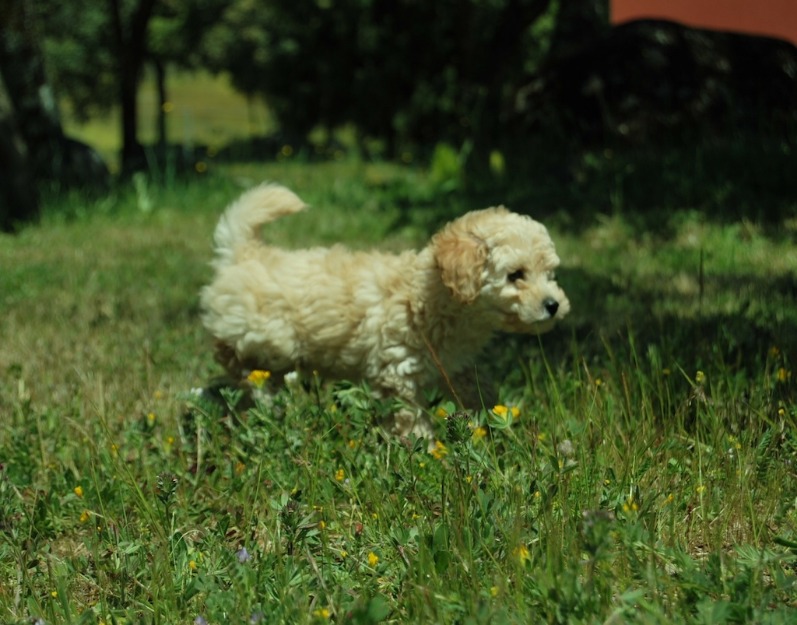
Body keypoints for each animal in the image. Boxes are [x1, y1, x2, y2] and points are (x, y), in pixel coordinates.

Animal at [202, 183, 568, 438]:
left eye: (550, 274)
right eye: (516, 275)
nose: (554, 305)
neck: (429, 295)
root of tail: (245, 252)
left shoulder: (455, 363)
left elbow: (479, 386)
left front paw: (493, 416)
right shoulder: (398, 370)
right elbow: (412, 416)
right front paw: (426, 449)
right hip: (267, 337)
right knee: (236, 357)